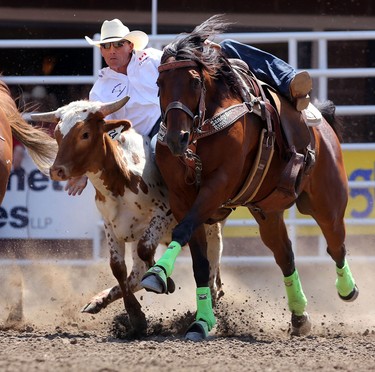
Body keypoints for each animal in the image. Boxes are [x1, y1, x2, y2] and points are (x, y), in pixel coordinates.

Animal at [142, 16, 360, 342]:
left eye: (195, 81)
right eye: (159, 84)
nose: (176, 139)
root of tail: (320, 121)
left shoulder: (218, 186)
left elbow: (183, 231)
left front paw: (156, 274)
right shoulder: (182, 198)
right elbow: (199, 262)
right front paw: (200, 322)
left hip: (327, 202)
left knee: (336, 245)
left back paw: (347, 290)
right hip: (268, 212)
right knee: (285, 256)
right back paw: (299, 317)